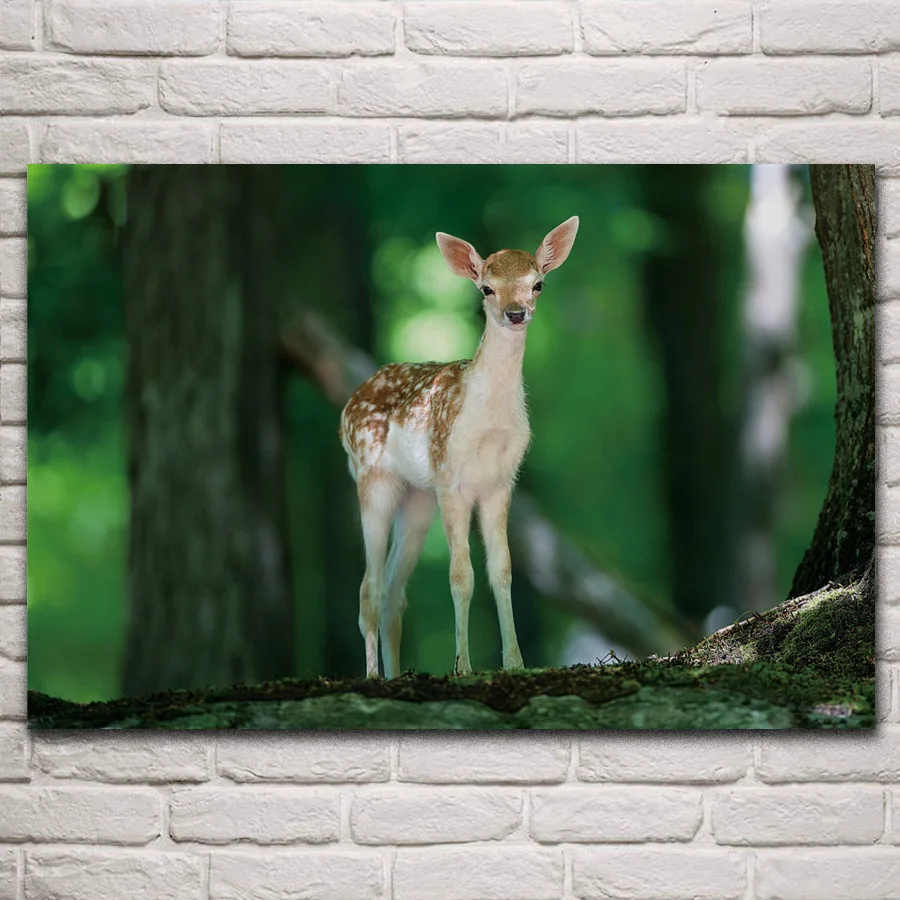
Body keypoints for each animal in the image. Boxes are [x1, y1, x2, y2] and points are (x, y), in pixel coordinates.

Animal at [339, 217, 579, 679]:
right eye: (486, 288)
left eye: (537, 283)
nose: (515, 313)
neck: (488, 421)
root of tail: (348, 406)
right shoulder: (451, 478)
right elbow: (460, 575)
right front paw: (463, 667)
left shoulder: (501, 482)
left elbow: (501, 571)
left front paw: (515, 663)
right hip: (373, 477)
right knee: (368, 587)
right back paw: (374, 676)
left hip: (418, 498)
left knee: (393, 592)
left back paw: (395, 674)